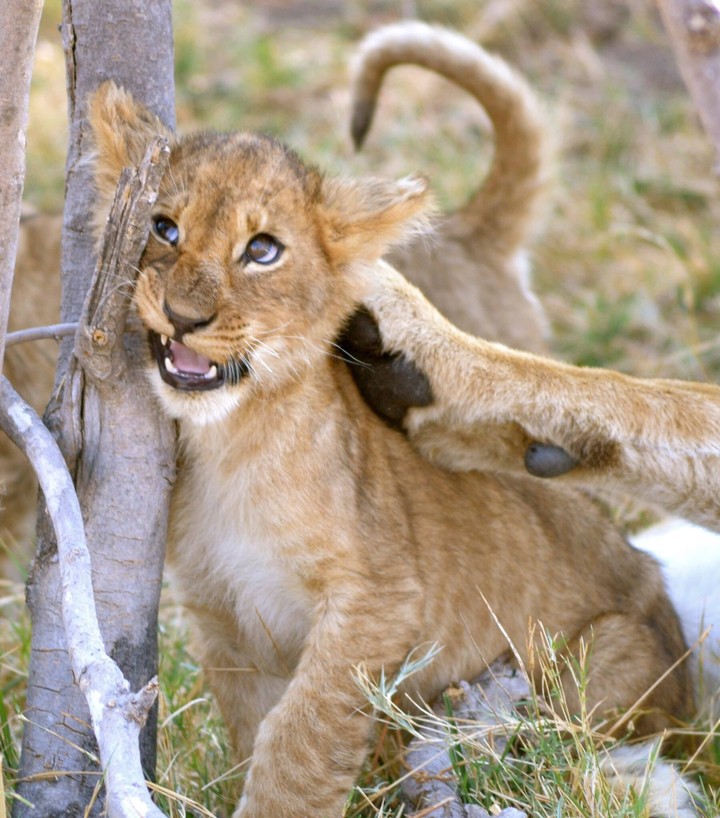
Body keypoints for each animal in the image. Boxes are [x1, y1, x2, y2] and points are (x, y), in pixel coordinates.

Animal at [85, 79, 695, 818]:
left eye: (262, 250)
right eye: (164, 228)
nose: (183, 317)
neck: (225, 444)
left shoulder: (378, 598)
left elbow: (298, 740)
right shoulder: (225, 618)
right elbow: (255, 729)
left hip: (599, 661)